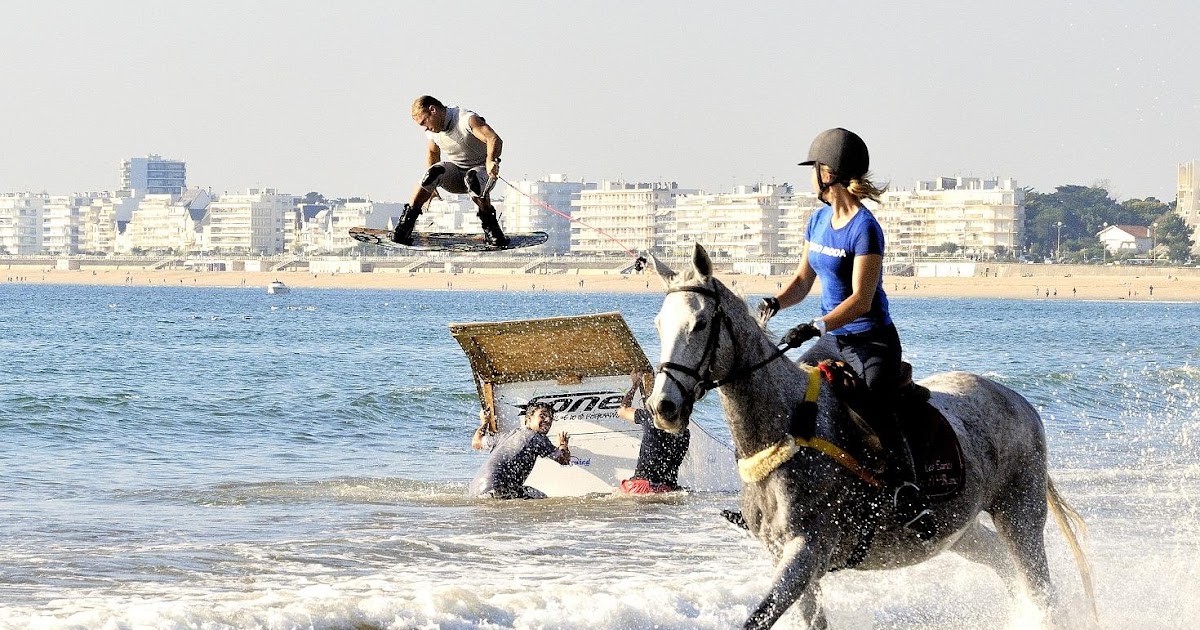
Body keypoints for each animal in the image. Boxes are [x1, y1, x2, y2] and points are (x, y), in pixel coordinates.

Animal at [645, 244, 1096, 630]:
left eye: (700, 324)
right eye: (659, 324)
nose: (663, 407)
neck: (785, 429)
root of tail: (1019, 401)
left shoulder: (805, 552)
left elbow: (757, 619)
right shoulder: (785, 557)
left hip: (1019, 516)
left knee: (1040, 589)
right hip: (958, 529)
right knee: (1003, 564)